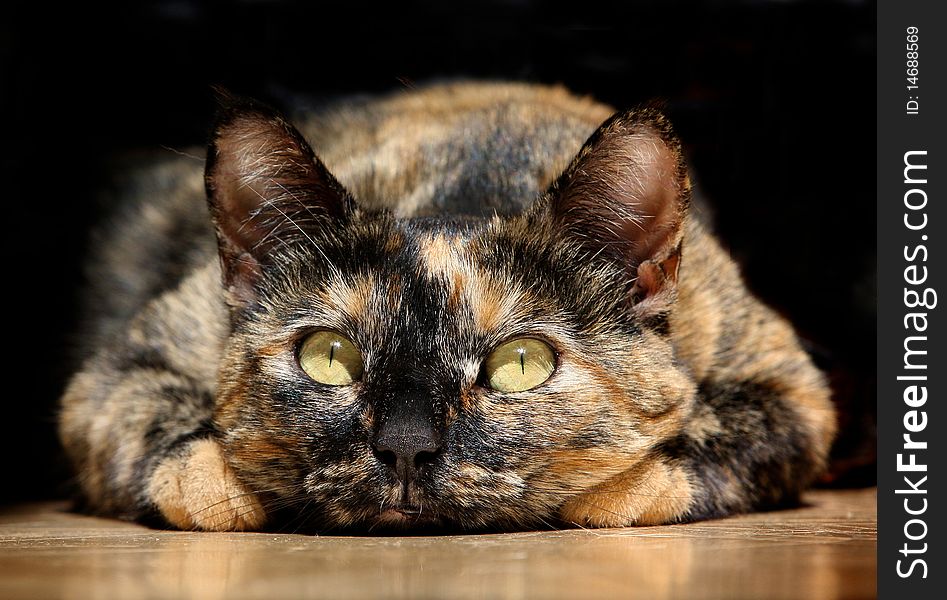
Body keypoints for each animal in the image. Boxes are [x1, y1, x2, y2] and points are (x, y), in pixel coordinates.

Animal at [57, 82, 836, 532]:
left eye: (521, 363)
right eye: (328, 357)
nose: (406, 445)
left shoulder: (790, 389)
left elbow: (692, 441)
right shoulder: (115, 377)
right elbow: (188, 469)